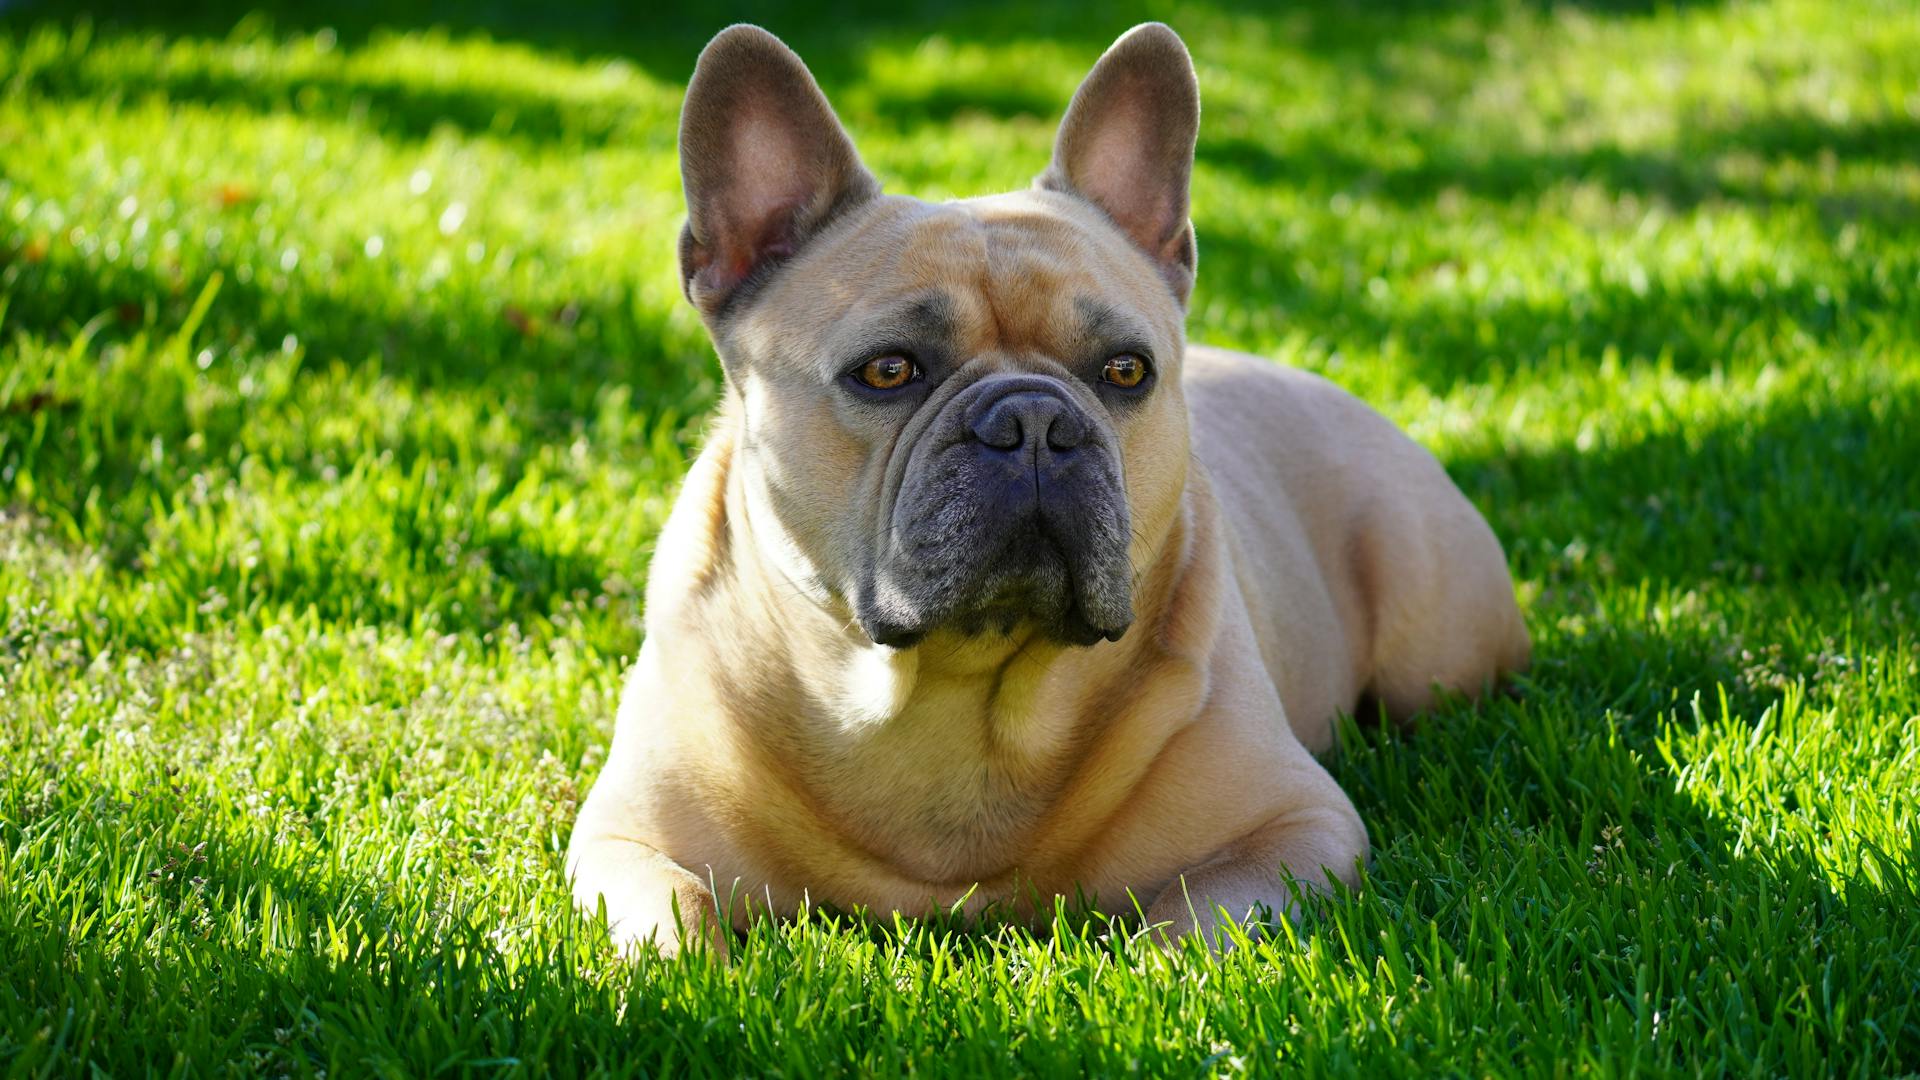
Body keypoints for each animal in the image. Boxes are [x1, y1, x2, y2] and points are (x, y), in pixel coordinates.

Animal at [560, 23, 1520, 949]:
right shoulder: (624, 843)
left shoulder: (1296, 828)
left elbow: (1198, 928)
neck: (951, 691)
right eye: (888, 370)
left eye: (1127, 370)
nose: (1033, 422)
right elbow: (678, 925)